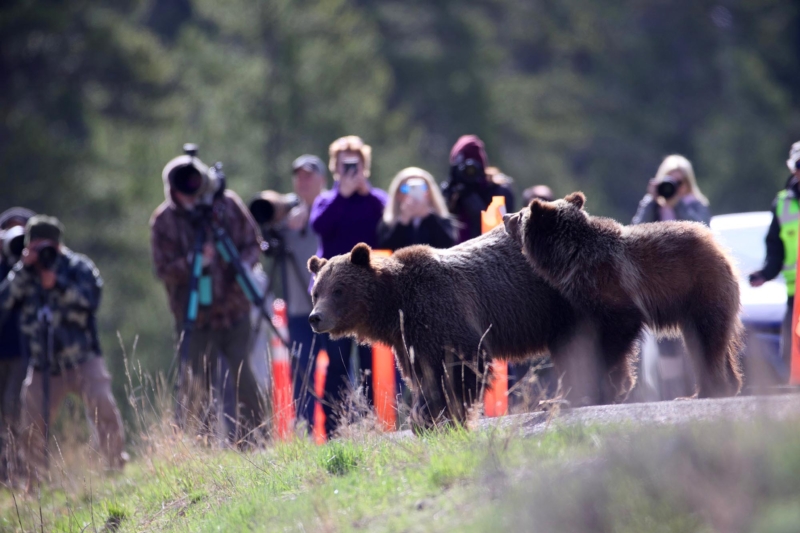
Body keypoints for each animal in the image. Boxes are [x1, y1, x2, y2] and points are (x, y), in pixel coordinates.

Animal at [307, 224, 633, 430]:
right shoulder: (411, 339)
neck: (395, 304)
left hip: (574, 297)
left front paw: (443, 417)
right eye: (316, 291)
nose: (315, 317)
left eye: (338, 290)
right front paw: (427, 416)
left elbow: (462, 367)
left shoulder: (442, 312)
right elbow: (424, 376)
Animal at [503, 191, 744, 399]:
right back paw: (725, 386)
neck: (570, 259)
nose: (505, 216)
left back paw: (704, 391)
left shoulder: (613, 289)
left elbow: (617, 333)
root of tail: (720, 248)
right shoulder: (587, 304)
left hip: (701, 289)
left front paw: (603, 382)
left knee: (706, 341)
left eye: (521, 214)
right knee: (709, 342)